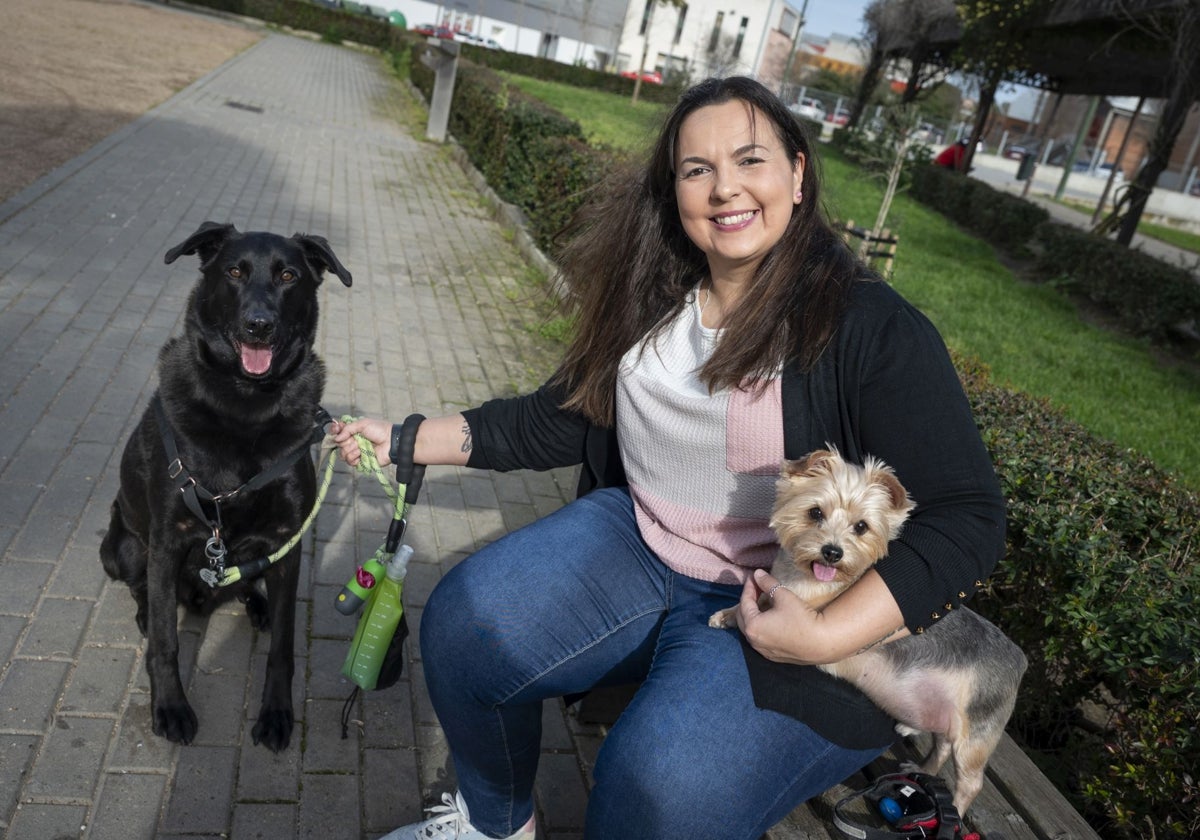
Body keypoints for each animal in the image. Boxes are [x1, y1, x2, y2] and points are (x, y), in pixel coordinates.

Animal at [100, 219, 350, 753]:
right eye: (235, 271)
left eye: (288, 275)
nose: (259, 324)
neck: (245, 403)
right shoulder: (168, 540)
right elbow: (167, 642)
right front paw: (170, 707)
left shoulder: (287, 542)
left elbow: (283, 645)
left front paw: (277, 713)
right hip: (122, 549)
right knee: (141, 588)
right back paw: (147, 613)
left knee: (250, 584)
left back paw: (256, 602)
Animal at [705, 448, 1027, 816]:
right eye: (815, 512)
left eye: (862, 527)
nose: (832, 551)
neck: (803, 578)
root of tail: (1020, 658)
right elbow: (756, 598)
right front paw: (728, 614)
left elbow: (763, 607)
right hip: (948, 713)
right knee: (942, 745)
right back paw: (922, 770)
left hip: (975, 733)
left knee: (971, 781)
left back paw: (954, 814)